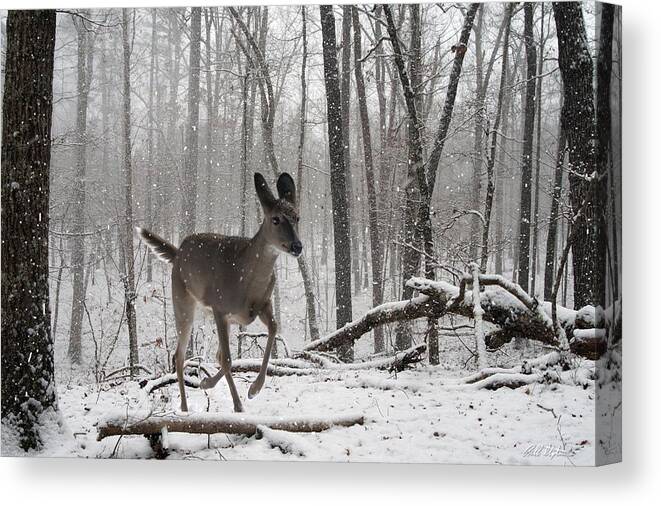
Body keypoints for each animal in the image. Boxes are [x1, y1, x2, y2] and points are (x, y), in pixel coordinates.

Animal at [137, 172, 302, 414]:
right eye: (276, 219)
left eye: (297, 217)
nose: (297, 246)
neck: (247, 279)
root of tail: (177, 253)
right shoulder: (220, 308)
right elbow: (228, 360)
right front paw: (238, 405)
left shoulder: (262, 305)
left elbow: (273, 328)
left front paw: (254, 389)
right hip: (183, 302)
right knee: (180, 355)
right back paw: (185, 407)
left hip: (222, 317)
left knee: (212, 354)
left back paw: (205, 385)